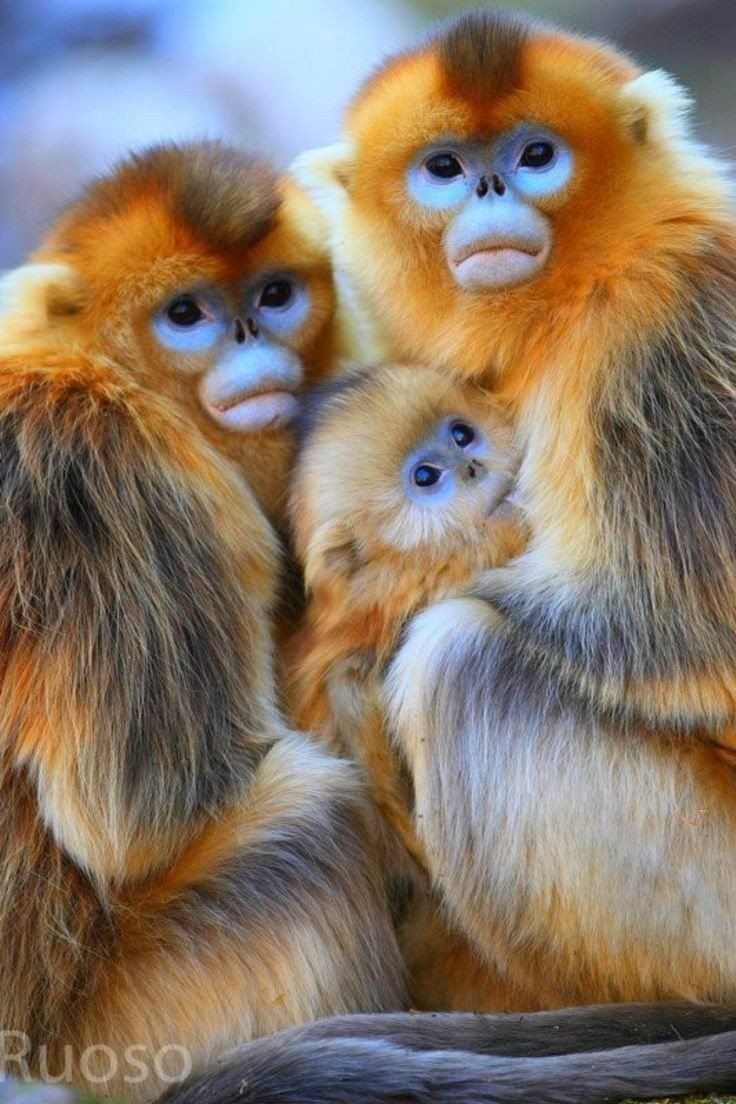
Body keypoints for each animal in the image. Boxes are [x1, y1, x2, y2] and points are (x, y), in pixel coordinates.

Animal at [0, 141, 408, 1101]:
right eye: (186, 314)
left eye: (274, 295)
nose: (253, 339)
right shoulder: (117, 466)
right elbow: (139, 814)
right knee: (311, 818)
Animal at [289, 7, 736, 1009]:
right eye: (444, 167)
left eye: (537, 155)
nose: (491, 185)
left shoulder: (663, 331)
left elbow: (678, 629)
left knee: (457, 657)